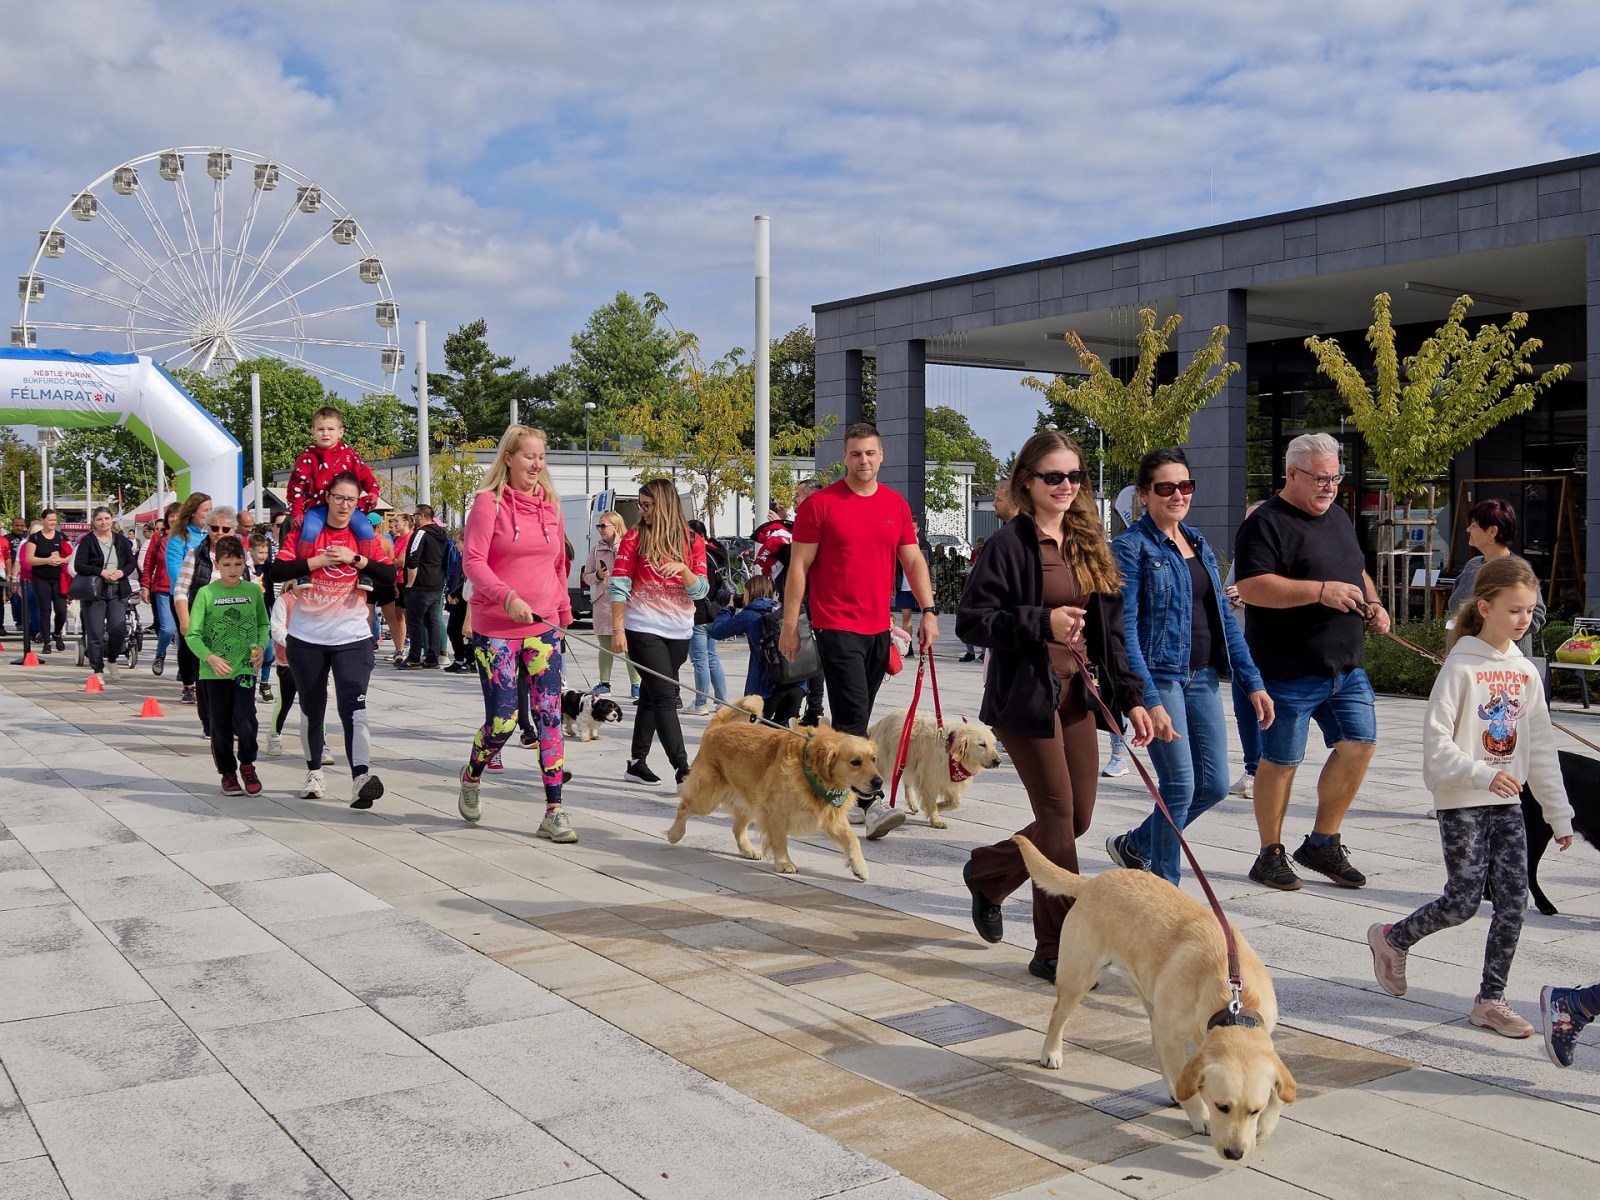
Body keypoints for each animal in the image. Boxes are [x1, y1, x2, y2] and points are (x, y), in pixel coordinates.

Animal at [667, 696, 882, 879]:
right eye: (855, 762)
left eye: (873, 759)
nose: (878, 783)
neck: (812, 771)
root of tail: (715, 728)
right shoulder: (776, 811)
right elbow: (780, 839)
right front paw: (784, 863)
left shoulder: (830, 815)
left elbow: (852, 839)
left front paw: (860, 867)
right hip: (707, 797)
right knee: (684, 808)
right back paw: (674, 834)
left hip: (750, 800)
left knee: (737, 828)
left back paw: (748, 849)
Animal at [867, 709, 1001, 828]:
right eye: (982, 745)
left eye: (994, 745)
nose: (998, 761)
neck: (950, 747)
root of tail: (880, 722)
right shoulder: (930, 779)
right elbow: (932, 802)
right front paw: (936, 819)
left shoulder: (945, 778)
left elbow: (956, 802)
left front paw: (938, 807)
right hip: (885, 763)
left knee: (907, 782)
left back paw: (913, 804)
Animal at [1013, 835, 1295, 1163]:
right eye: (1221, 1106)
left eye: (1254, 1110)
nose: (1235, 1153)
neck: (1232, 1002)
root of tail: (1095, 881)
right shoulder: (1172, 1035)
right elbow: (1190, 1089)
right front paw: (1200, 1117)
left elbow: (1279, 1092)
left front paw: (1266, 1126)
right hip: (1078, 978)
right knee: (1058, 1016)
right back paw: (1052, 1052)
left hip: (1149, 995)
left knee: (1153, 1042)